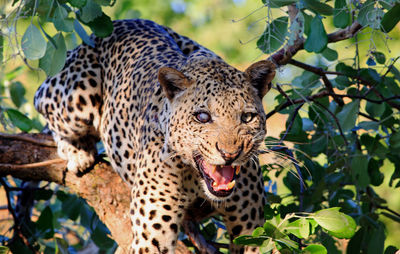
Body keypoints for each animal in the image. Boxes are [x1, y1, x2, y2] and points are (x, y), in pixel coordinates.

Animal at [34, 18, 276, 253]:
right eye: (202, 117)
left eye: (247, 117)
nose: (230, 154)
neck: (194, 177)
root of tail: (125, 21)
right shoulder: (152, 235)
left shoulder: (251, 228)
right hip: (75, 99)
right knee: (42, 100)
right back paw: (78, 152)